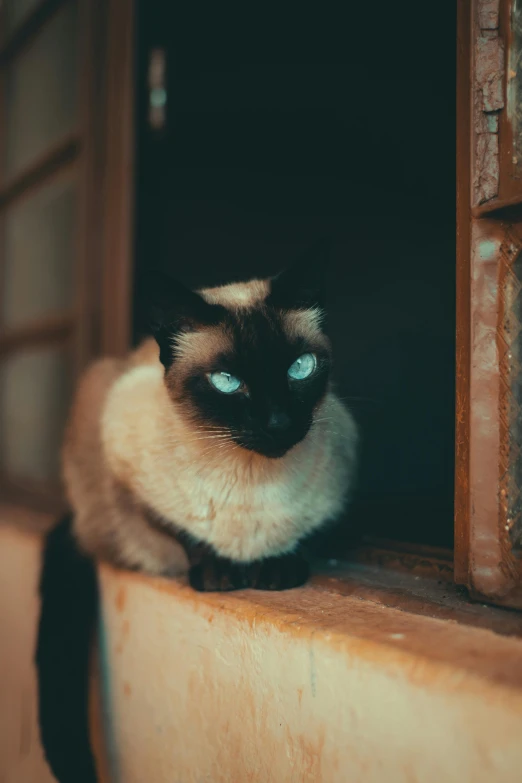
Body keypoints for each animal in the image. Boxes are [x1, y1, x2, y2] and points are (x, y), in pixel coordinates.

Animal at [33, 242, 358, 780]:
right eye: (227, 381)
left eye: (300, 367)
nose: (278, 423)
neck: (253, 485)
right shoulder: (126, 475)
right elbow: (183, 533)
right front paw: (219, 574)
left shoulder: (336, 486)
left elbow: (301, 537)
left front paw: (277, 570)